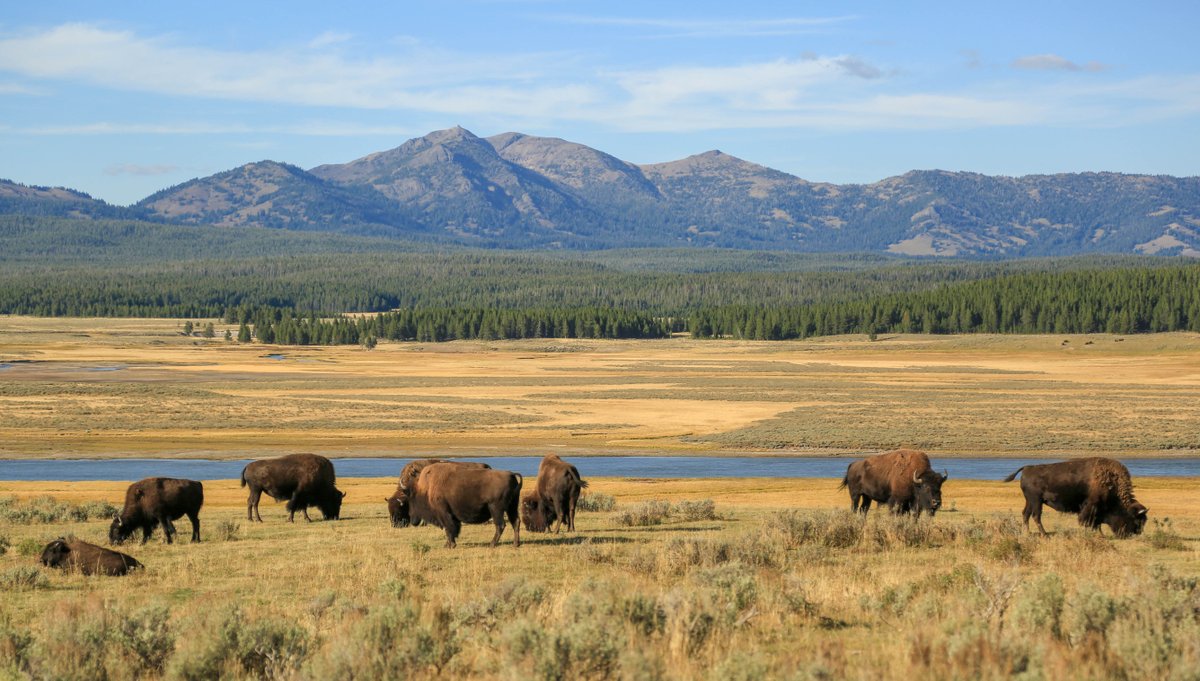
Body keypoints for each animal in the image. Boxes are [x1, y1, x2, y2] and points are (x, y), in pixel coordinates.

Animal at [389, 462, 522, 548]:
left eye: (411, 499)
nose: (413, 520)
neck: (427, 488)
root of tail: (511, 475)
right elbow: (453, 528)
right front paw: (448, 544)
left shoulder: (444, 513)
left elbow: (449, 528)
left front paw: (450, 545)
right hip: (512, 507)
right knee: (515, 522)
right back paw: (516, 544)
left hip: (496, 509)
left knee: (500, 525)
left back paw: (492, 544)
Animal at [1004, 457, 1148, 537]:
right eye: (1137, 520)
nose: (1135, 534)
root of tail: (1027, 468)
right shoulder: (1091, 507)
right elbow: (1089, 522)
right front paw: (1098, 534)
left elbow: (1095, 523)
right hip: (1036, 501)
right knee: (1036, 516)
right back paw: (1044, 535)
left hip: (1030, 501)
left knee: (1026, 514)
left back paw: (1027, 533)